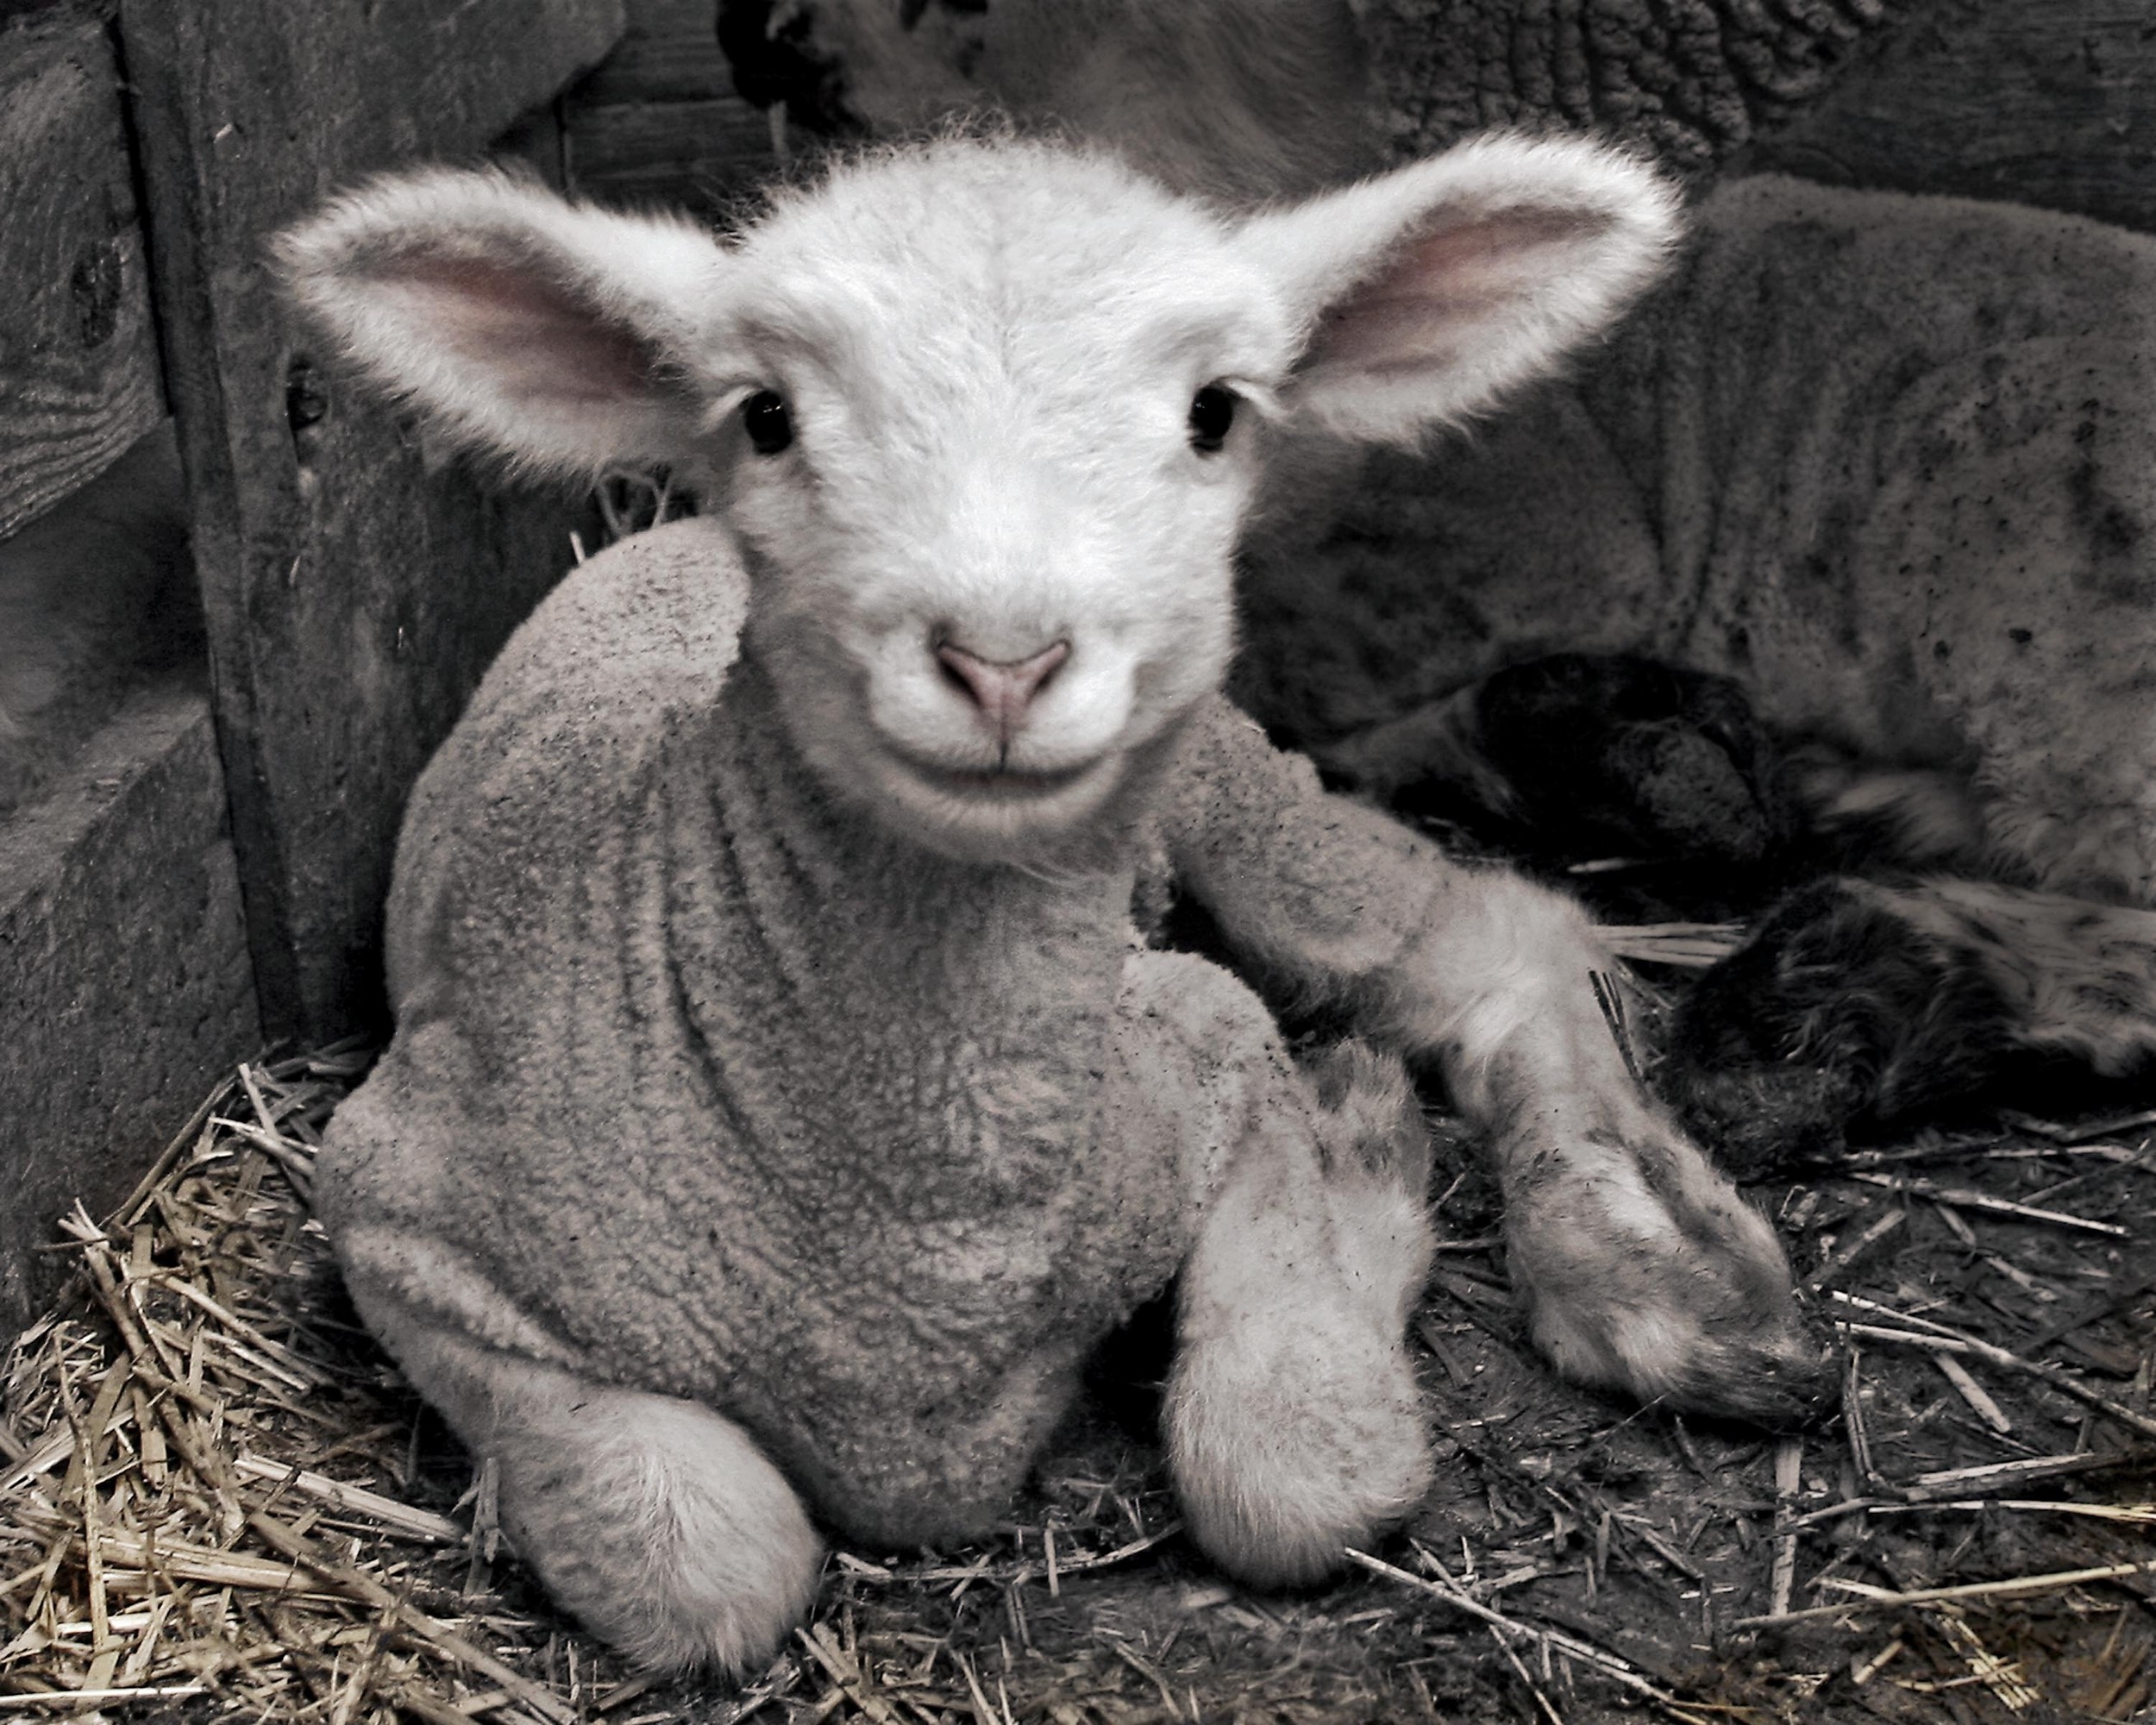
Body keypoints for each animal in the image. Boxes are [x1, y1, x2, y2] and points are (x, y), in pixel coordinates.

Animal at [280, 134, 1819, 1675]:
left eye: (1216, 412)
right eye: (766, 416)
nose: (1005, 660)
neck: (923, 1248)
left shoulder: (1200, 1035)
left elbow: (1293, 1471)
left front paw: (1357, 1169)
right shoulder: (394, 1206)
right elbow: (709, 1564)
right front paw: (1362, 1151)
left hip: (1230, 783)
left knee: (1483, 938)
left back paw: (1647, 1265)